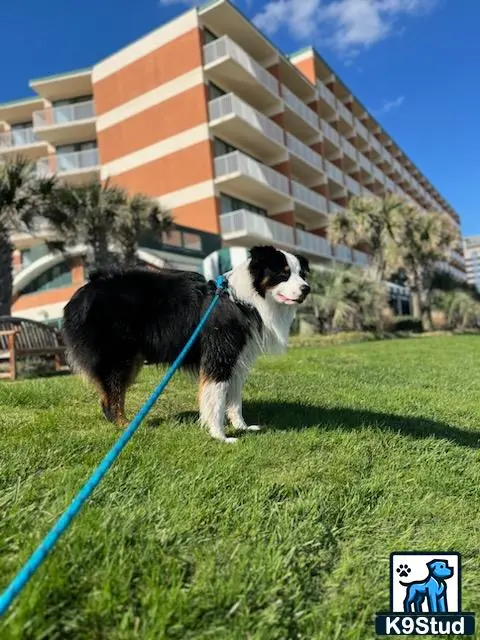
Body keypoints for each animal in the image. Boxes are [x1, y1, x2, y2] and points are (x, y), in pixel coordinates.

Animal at [62, 242, 312, 442]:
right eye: (283, 274)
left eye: (302, 274)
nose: (307, 289)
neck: (242, 299)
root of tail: (81, 293)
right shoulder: (218, 356)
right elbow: (216, 399)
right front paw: (220, 436)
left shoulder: (236, 361)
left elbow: (234, 400)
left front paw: (242, 427)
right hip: (118, 357)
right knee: (112, 397)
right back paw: (128, 427)